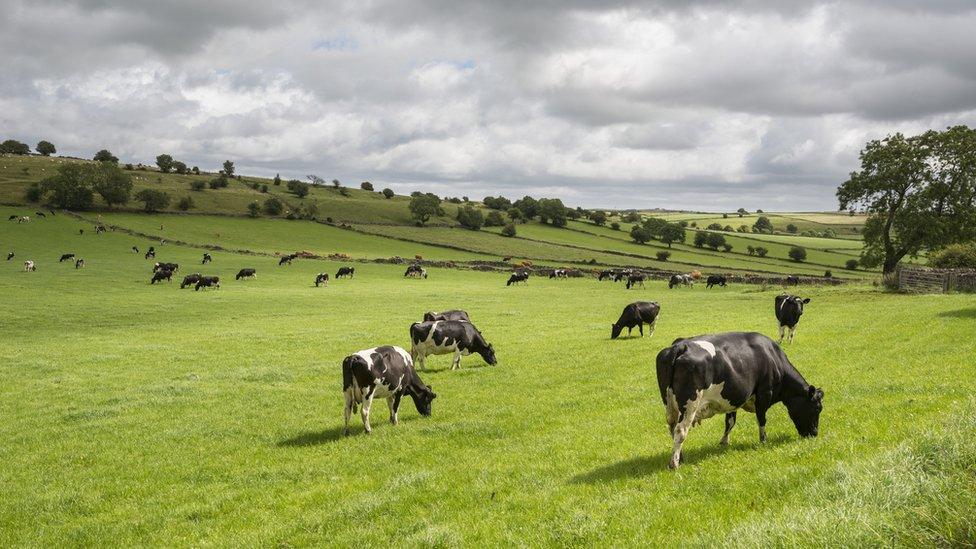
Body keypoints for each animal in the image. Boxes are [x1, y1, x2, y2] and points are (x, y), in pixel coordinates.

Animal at [656, 330, 824, 466]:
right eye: (817, 408)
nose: (815, 433)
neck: (773, 358)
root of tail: (680, 346)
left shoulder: (732, 398)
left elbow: (730, 422)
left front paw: (724, 442)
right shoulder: (764, 394)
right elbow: (761, 420)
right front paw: (763, 440)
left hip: (669, 404)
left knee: (672, 428)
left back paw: (680, 457)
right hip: (690, 404)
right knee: (681, 430)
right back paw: (674, 463)